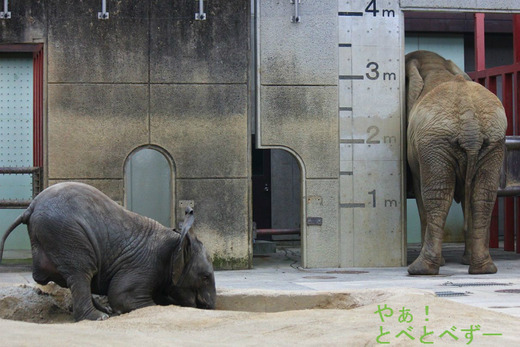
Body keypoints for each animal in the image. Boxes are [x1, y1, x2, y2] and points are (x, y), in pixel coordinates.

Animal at [0, 184, 215, 322]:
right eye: (205, 277)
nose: (207, 306)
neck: (177, 239)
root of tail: (30, 207)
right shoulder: (145, 266)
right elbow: (123, 297)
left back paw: (103, 310)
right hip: (65, 233)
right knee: (81, 273)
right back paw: (99, 317)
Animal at [406, 50, 508, 276]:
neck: (435, 67)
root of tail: (469, 118)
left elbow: (419, 189)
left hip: (434, 143)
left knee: (437, 195)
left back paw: (420, 269)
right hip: (494, 141)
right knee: (483, 195)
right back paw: (483, 269)